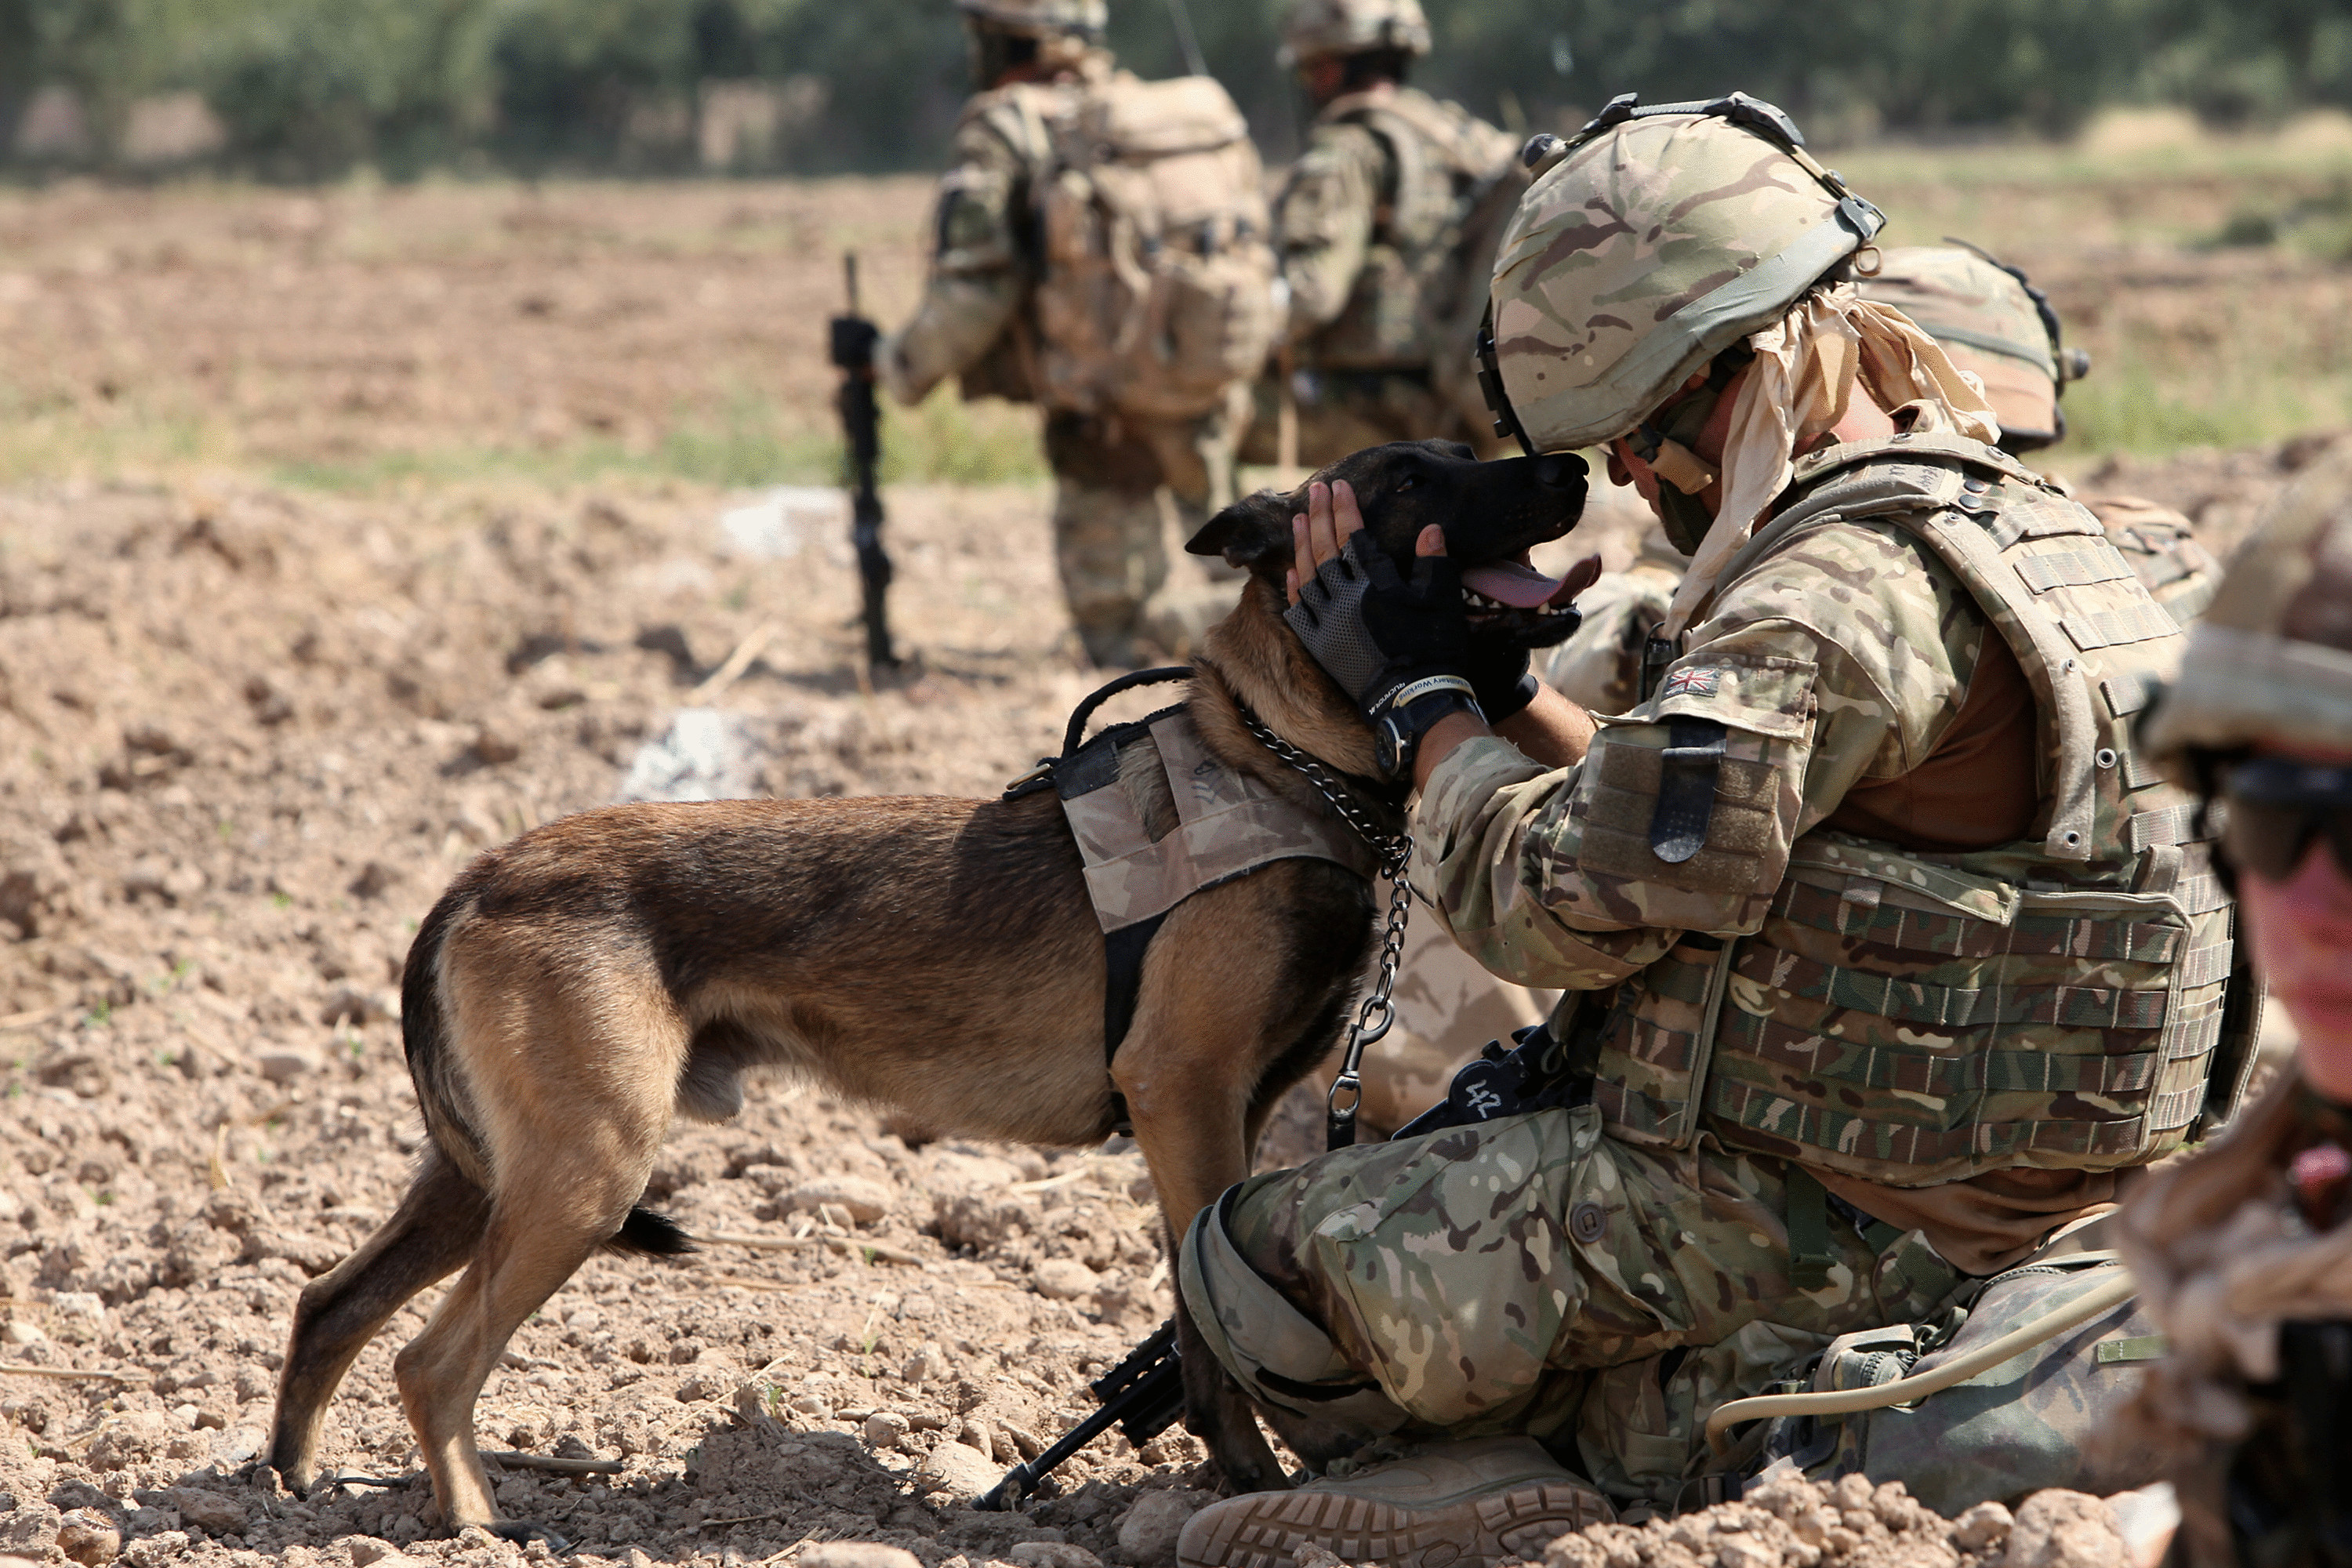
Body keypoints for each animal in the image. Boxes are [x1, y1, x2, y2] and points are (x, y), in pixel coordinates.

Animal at [267, 434, 1590, 1542]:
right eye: (1412, 478)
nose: (1572, 465)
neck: (1279, 756)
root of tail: (479, 875)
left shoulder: (1226, 1117)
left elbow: (1197, 1314)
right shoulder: (1185, 1100)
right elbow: (1208, 1334)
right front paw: (1246, 1486)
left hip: (491, 1171)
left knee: (329, 1302)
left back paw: (288, 1485)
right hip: (586, 1171)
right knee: (432, 1360)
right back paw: (474, 1525)